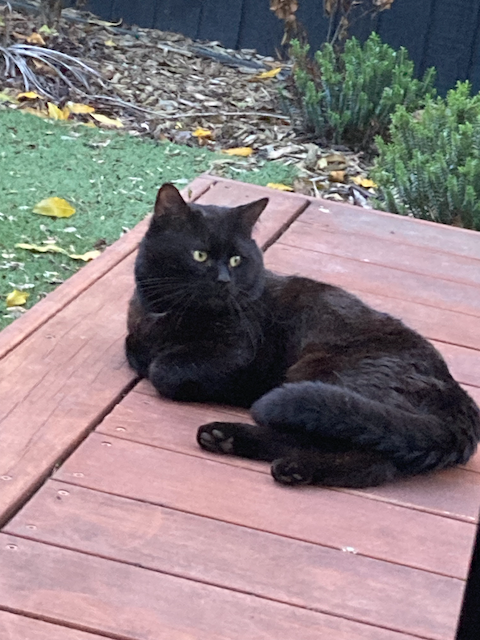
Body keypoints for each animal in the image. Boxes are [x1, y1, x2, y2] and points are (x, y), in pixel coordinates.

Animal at [124, 182, 480, 488]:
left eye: (237, 260)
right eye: (200, 255)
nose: (225, 280)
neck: (165, 315)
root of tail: (460, 400)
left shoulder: (236, 351)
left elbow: (163, 369)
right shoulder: (137, 335)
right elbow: (134, 349)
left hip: (322, 376)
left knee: (360, 453)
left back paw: (256, 451)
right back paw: (250, 450)